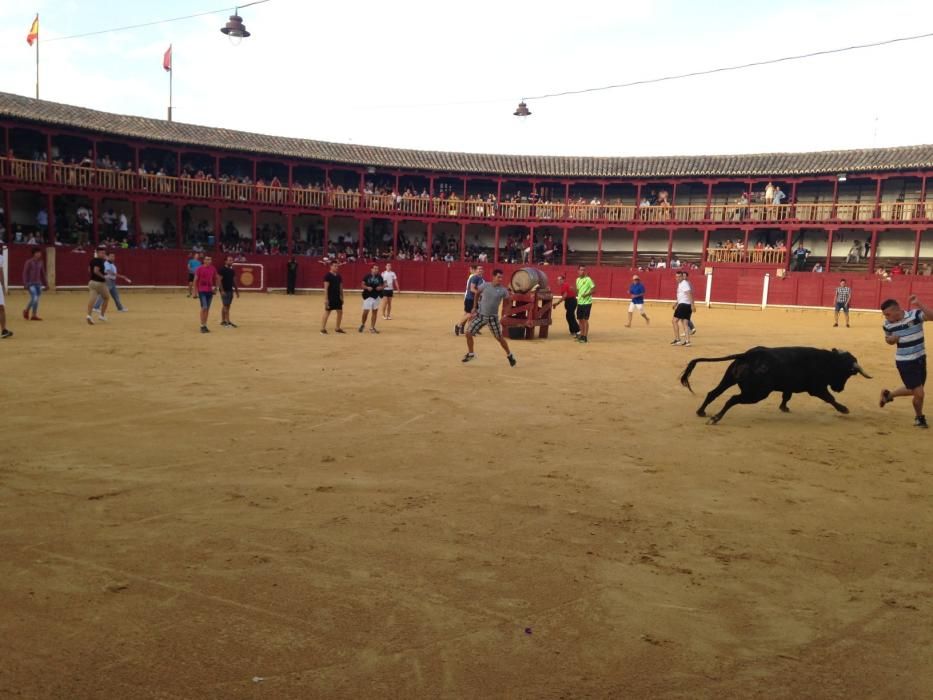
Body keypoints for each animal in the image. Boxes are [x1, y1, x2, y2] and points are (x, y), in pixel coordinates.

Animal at [676, 348, 872, 424]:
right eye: (848, 373)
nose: (840, 388)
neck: (828, 361)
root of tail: (749, 355)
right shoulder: (817, 388)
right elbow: (830, 398)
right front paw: (844, 409)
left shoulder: (789, 386)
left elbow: (787, 396)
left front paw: (784, 407)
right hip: (756, 393)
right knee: (732, 399)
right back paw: (715, 418)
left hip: (728, 379)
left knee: (713, 393)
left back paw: (701, 412)